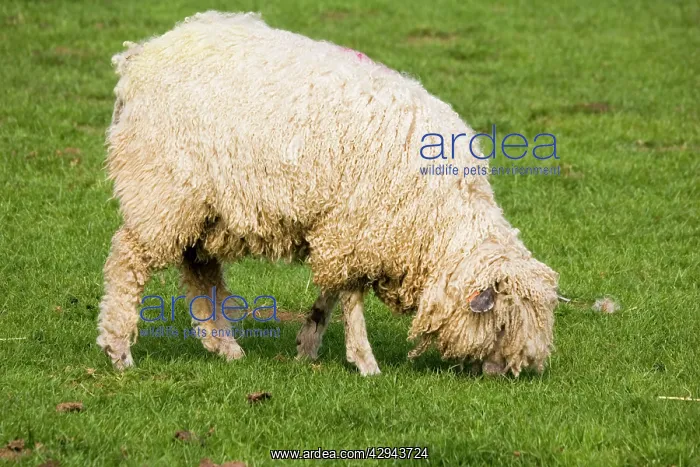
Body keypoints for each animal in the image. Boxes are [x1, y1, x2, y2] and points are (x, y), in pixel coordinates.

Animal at [97, 11, 559, 377]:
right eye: (502, 323)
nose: (507, 374)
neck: (438, 221)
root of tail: (139, 57)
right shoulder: (355, 229)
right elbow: (351, 298)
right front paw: (365, 361)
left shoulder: (341, 230)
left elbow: (332, 292)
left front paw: (309, 344)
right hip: (161, 189)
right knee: (128, 261)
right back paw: (119, 350)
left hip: (206, 207)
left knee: (200, 273)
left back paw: (225, 346)